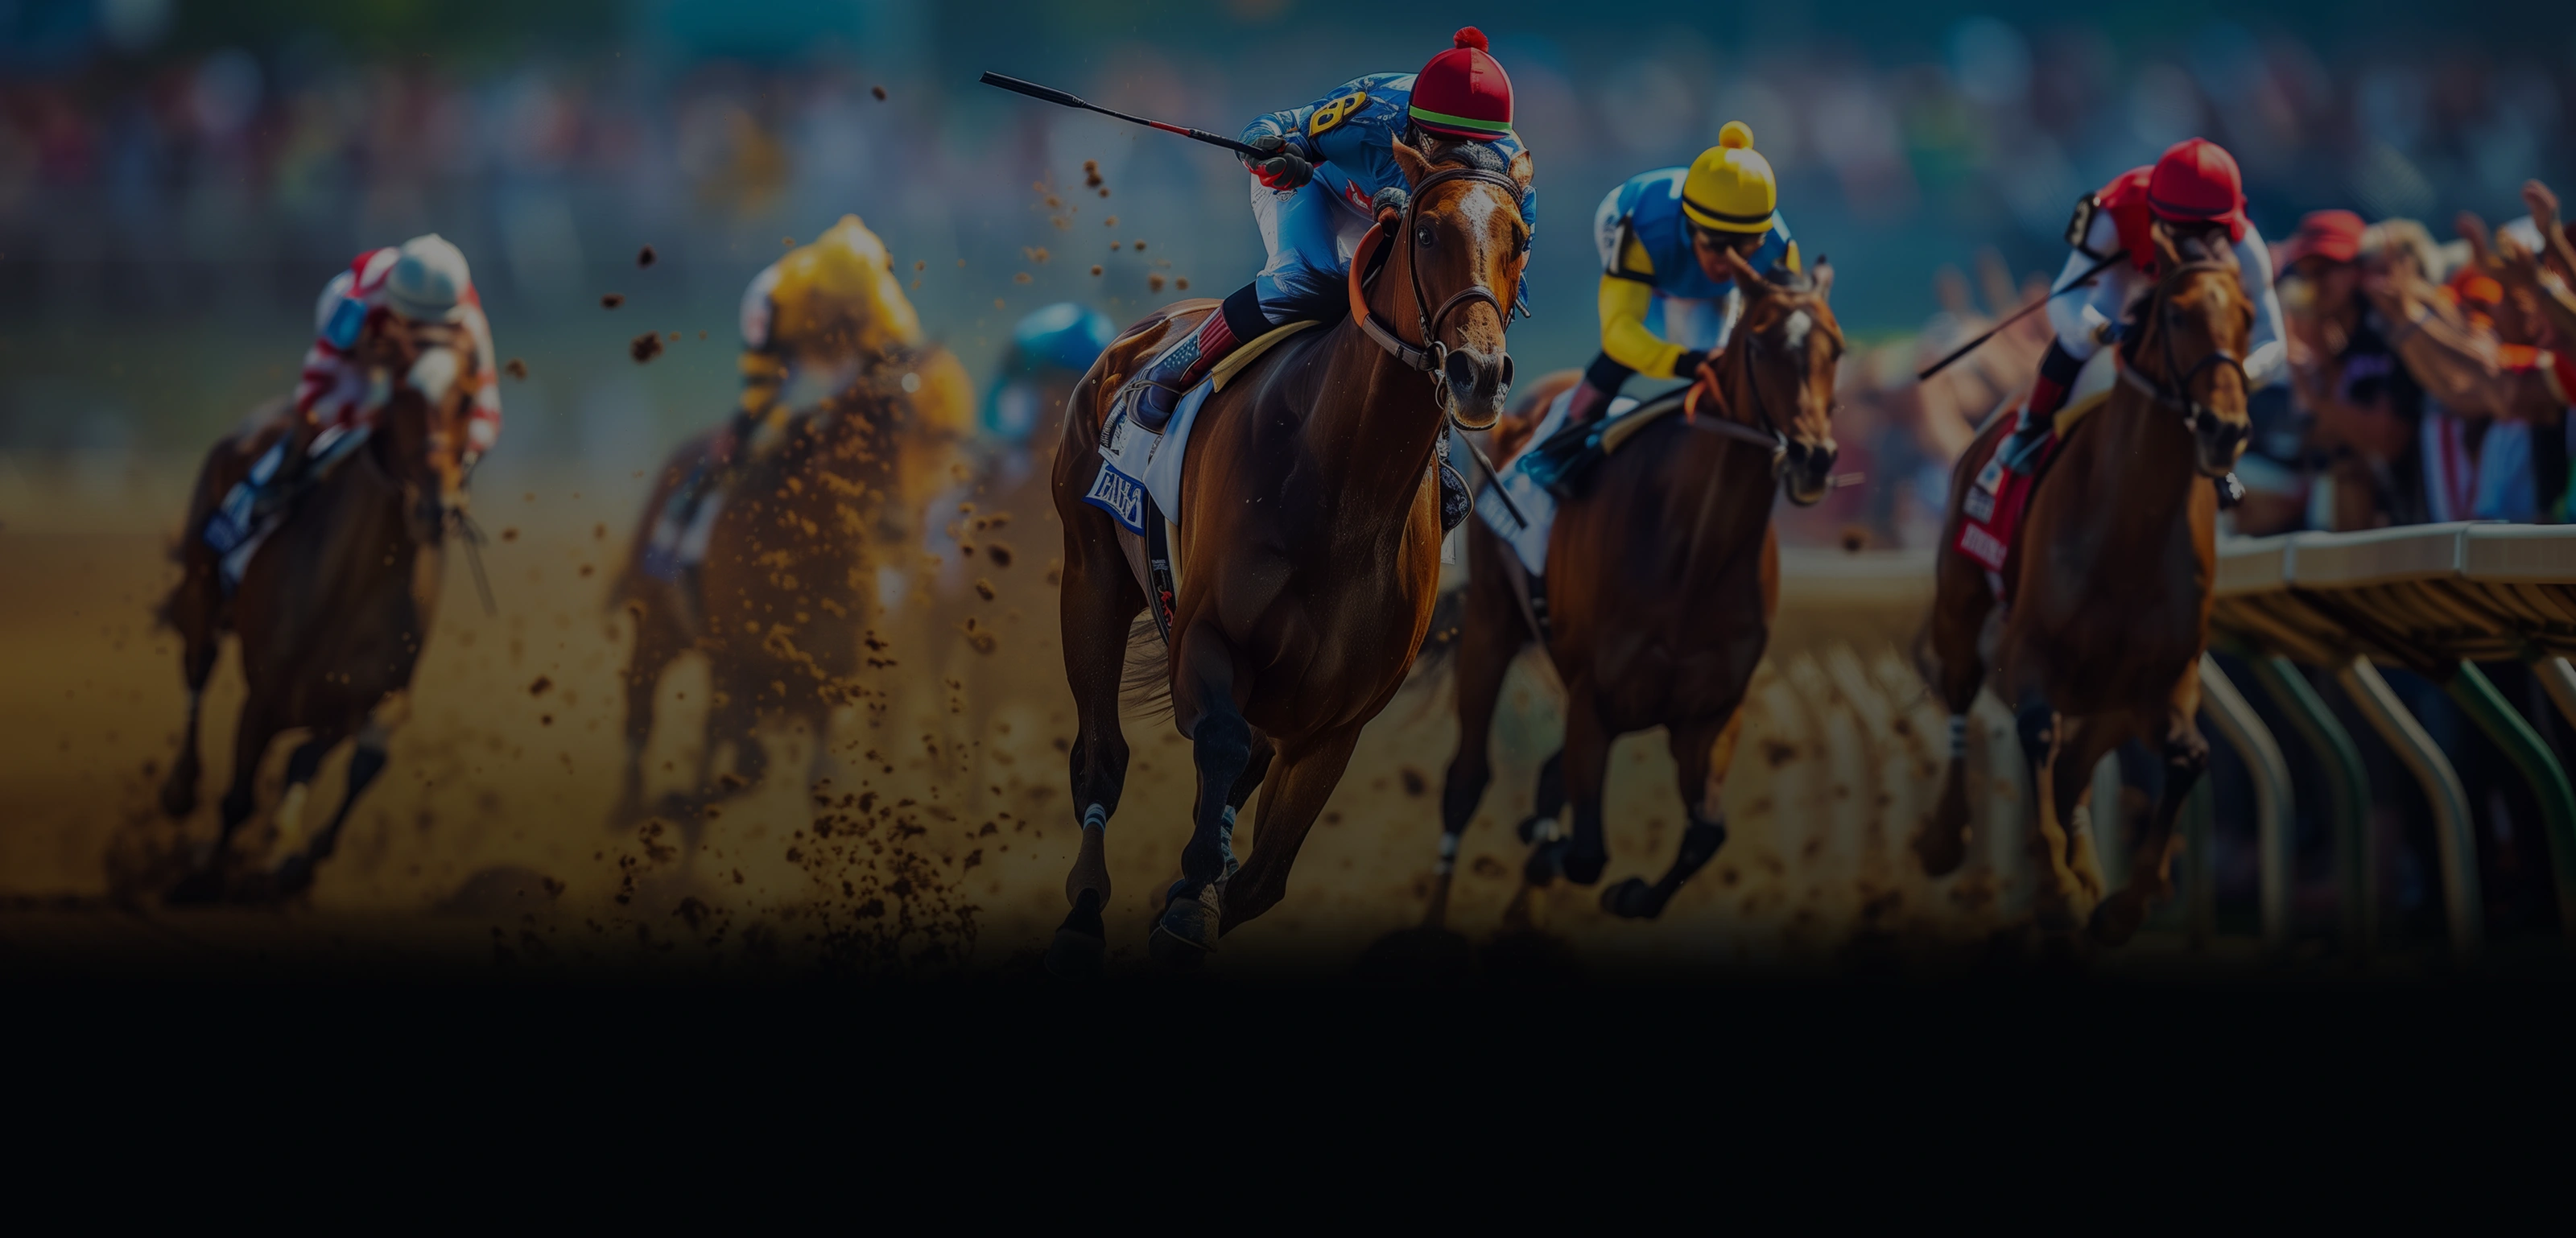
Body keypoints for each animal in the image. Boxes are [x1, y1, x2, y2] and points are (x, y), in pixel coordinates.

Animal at [157, 325, 483, 901]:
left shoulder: (375, 694)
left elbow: (359, 760)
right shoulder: (263, 696)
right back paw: (180, 788)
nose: (438, 507)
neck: (350, 588)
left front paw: (298, 859)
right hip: (201, 589)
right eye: (398, 395)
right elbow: (238, 796)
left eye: (466, 399)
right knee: (196, 670)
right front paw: (205, 872)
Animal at [607, 345, 971, 832]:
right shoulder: (736, 667)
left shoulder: (831, 686)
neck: (807, 564)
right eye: (857, 427)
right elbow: (750, 762)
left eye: (930, 435)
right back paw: (631, 808)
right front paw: (677, 804)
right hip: (657, 632)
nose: (893, 527)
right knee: (641, 713)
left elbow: (816, 776)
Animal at [1046, 136, 1534, 971]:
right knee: (1102, 757)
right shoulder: (1205, 641)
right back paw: (1082, 912)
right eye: (1426, 232)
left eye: (1520, 239)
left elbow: (1263, 878)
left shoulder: (1336, 723)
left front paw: (1193, 897)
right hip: (1092, 578)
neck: (1343, 490)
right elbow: (1216, 744)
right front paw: (1186, 902)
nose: (1478, 374)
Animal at [1404, 251, 1842, 940]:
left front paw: (1627, 893)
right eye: (1761, 342)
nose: (1812, 458)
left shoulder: (1711, 714)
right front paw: (1559, 856)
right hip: (1493, 625)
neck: (1693, 557)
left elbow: (1705, 834)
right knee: (1466, 779)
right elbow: (1586, 852)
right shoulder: (1595, 700)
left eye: (1838, 349)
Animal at [1916, 230, 2254, 942]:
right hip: (1960, 604)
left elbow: (2189, 759)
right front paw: (2060, 885)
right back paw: (1945, 837)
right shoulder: (2026, 654)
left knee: (2075, 769)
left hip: (2111, 699)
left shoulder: (2166, 682)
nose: (2226, 428)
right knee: (1961, 694)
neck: (2130, 530)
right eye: (2176, 315)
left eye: (2248, 318)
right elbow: (2037, 731)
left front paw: (2121, 902)